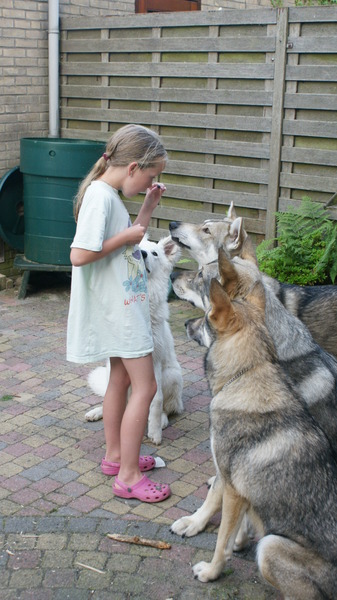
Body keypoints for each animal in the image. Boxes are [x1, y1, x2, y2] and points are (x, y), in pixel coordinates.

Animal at [85, 234, 182, 446]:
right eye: (137, 248)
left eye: (154, 253)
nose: (143, 254)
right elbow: (113, 397)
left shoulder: (153, 364)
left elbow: (156, 401)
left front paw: (154, 432)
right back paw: (97, 412)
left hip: (172, 376)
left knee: (169, 408)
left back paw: (162, 421)